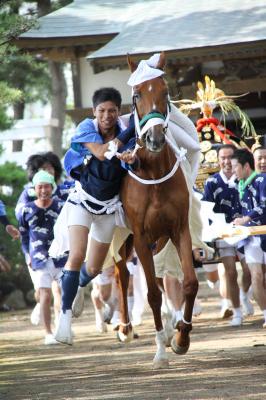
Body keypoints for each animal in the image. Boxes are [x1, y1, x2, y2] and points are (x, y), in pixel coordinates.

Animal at [115, 53, 198, 368]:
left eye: (165, 92)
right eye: (136, 95)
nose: (155, 138)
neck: (154, 175)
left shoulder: (178, 228)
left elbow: (189, 283)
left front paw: (181, 338)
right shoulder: (140, 235)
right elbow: (150, 293)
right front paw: (160, 351)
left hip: (160, 239)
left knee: (161, 278)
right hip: (125, 237)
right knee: (122, 274)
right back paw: (125, 328)